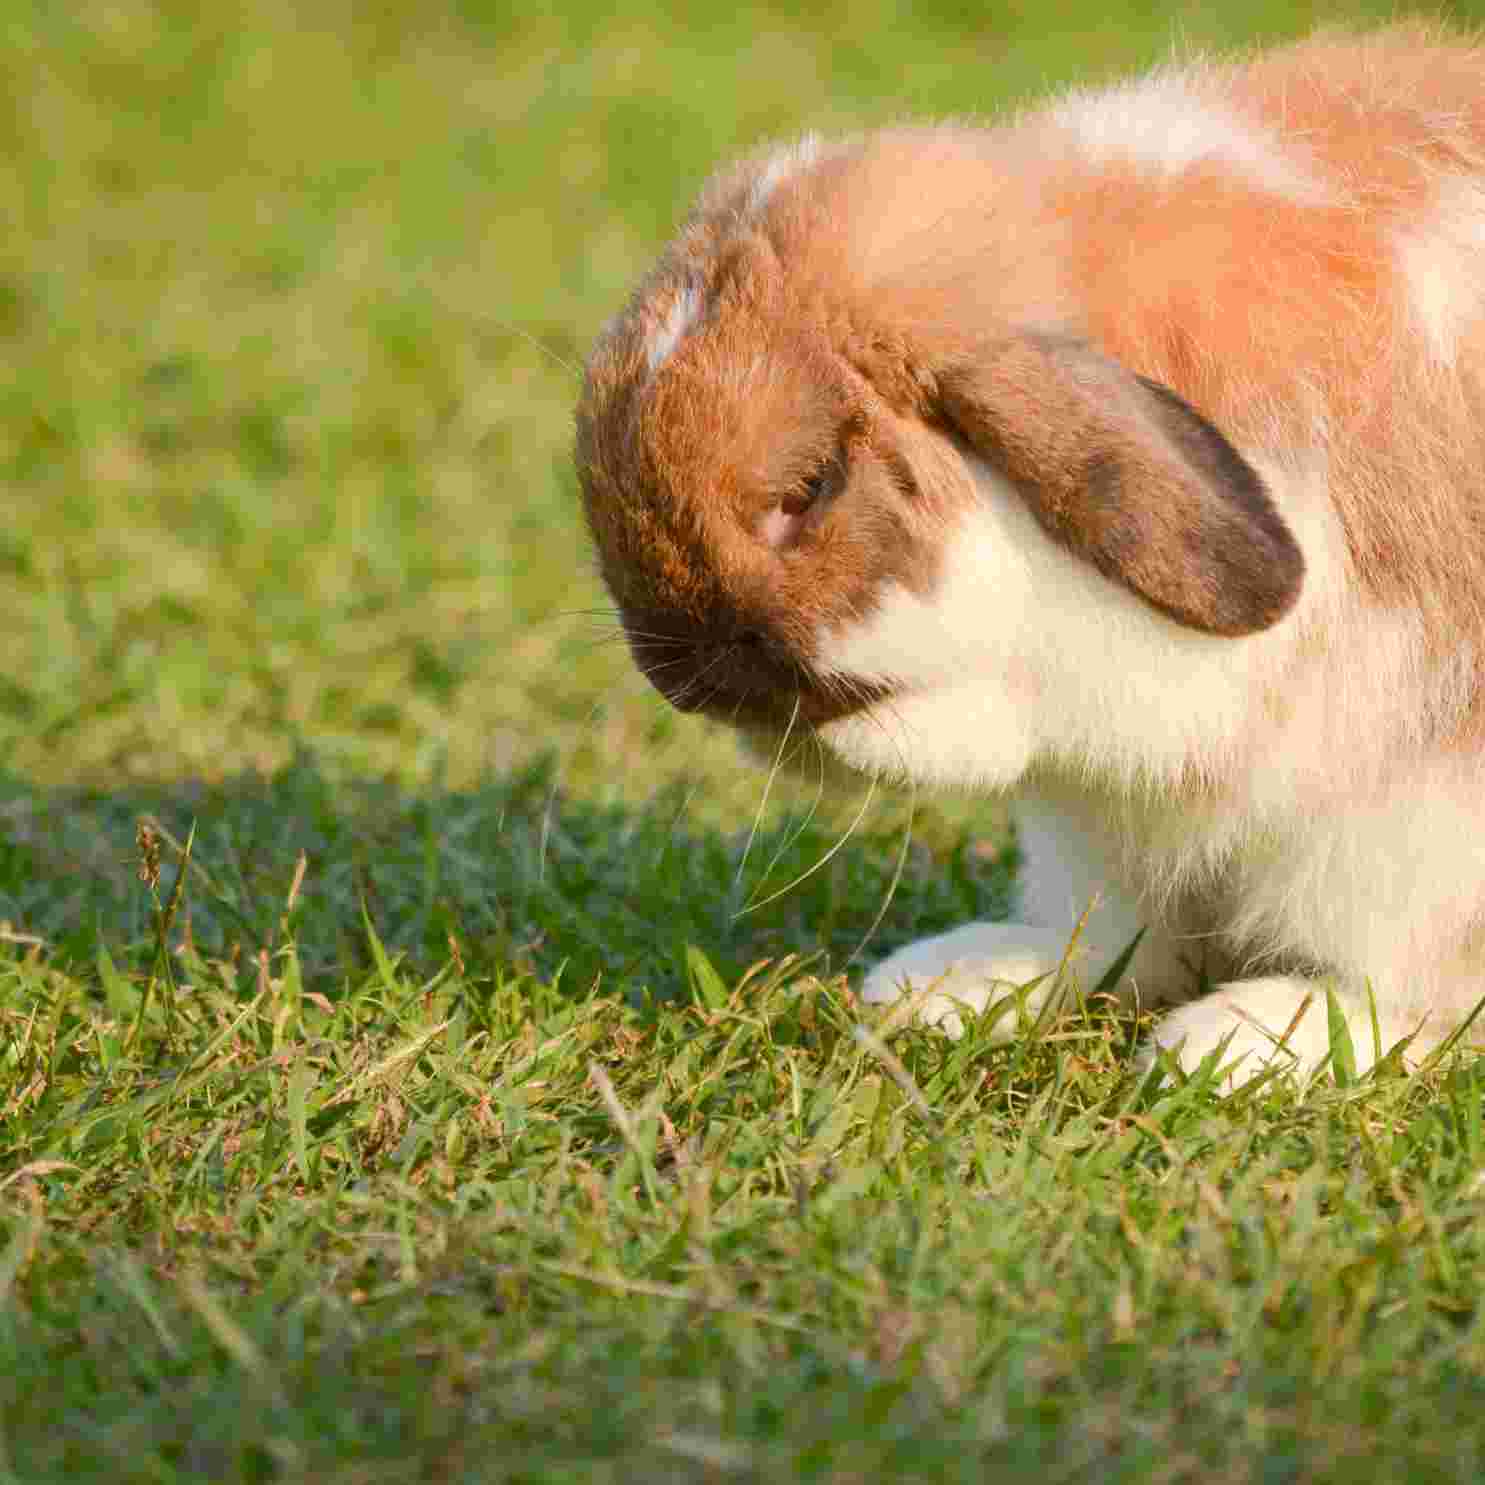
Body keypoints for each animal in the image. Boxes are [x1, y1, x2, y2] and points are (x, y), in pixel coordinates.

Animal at [575, 22, 1485, 1084]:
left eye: (810, 487)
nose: (682, 673)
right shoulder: (1096, 819)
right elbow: (1107, 928)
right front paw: (958, 981)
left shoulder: (1407, 817)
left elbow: (1397, 981)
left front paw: (1246, 1040)